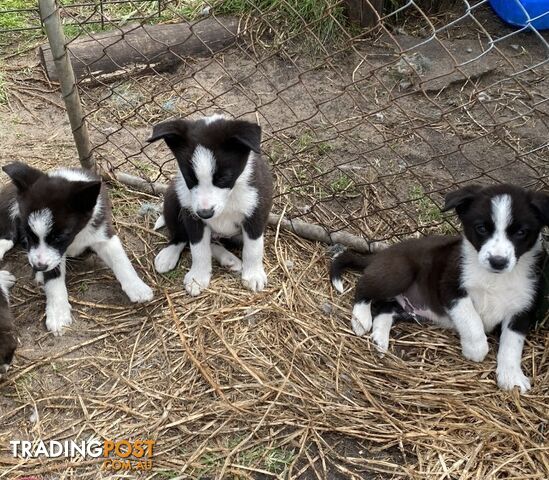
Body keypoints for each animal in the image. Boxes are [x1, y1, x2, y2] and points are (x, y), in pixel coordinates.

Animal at [0, 163, 153, 336]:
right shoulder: (54, 256)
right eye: (28, 234)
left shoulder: (104, 234)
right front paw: (58, 313)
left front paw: (137, 287)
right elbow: (53, 281)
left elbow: (121, 261)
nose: (39, 267)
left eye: (60, 237)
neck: (76, 236)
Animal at [148, 115, 272, 296]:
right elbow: (198, 248)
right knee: (182, 236)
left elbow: (254, 247)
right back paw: (169, 255)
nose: (205, 213)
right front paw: (197, 277)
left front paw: (253, 275)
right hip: (172, 196)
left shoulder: (256, 211)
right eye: (190, 178)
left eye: (224, 178)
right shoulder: (192, 215)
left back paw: (229, 259)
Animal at [330, 185, 548, 394]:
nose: (498, 261)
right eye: (481, 228)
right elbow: (471, 320)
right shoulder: (451, 287)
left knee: (385, 309)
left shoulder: (522, 307)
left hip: (412, 309)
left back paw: (379, 338)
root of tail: (381, 253)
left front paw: (511, 376)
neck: (495, 278)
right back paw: (361, 319)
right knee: (363, 287)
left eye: (521, 232)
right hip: (399, 272)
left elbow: (512, 343)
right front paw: (476, 349)